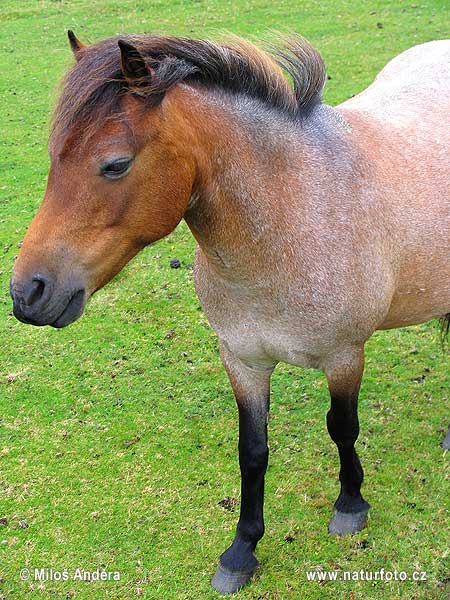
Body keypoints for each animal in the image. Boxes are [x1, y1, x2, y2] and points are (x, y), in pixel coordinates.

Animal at [8, 32, 448, 596]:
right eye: (53, 158)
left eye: (115, 164)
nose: (28, 292)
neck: (290, 219)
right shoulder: (243, 360)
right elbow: (252, 452)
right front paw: (242, 550)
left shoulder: (345, 356)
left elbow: (342, 428)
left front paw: (350, 505)